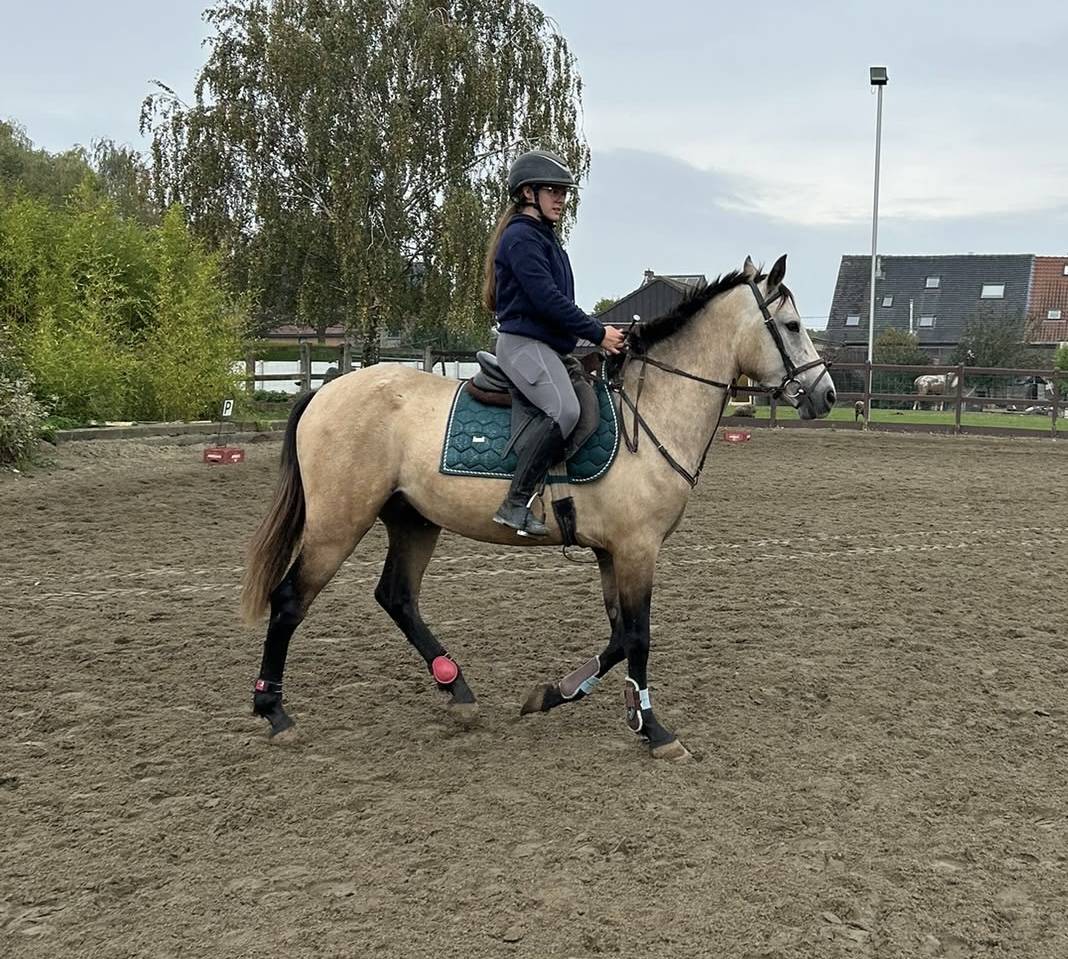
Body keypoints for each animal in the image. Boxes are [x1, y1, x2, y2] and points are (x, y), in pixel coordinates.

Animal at [241, 254, 836, 761]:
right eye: (790, 326)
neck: (651, 409)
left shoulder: (612, 551)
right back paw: (275, 711)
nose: (826, 395)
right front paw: (654, 729)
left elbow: (618, 636)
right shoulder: (637, 549)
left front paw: (555, 693)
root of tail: (325, 392)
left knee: (397, 597)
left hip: (413, 520)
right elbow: (639, 637)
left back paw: (457, 690)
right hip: (338, 523)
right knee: (291, 600)